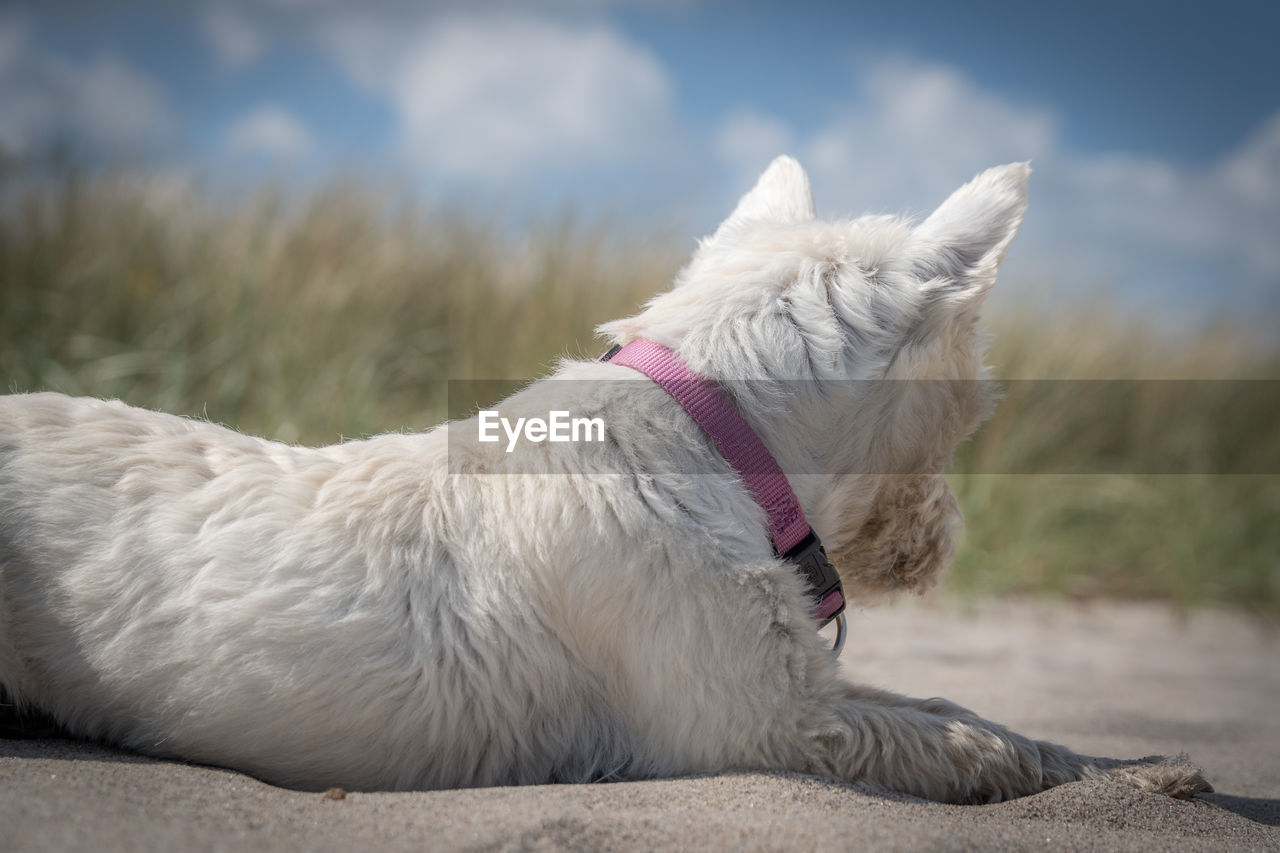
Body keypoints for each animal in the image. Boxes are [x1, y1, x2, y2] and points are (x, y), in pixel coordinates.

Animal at [0, 159, 1203, 804]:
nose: (945, 540)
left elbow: (948, 704)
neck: (712, 435)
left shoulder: (790, 688)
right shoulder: (766, 722)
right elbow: (956, 735)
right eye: (972, 414)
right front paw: (1098, 769)